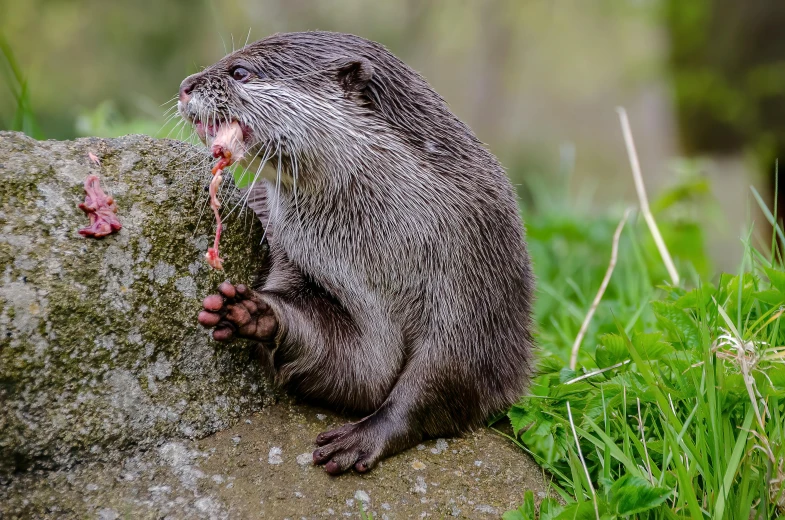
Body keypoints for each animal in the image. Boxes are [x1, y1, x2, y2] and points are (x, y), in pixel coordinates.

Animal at [178, 30, 536, 474]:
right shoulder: (296, 256)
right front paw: (252, 313)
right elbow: (358, 368)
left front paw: (367, 435)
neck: (381, 251)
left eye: (240, 71)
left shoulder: (475, 265)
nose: (185, 86)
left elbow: (449, 370)